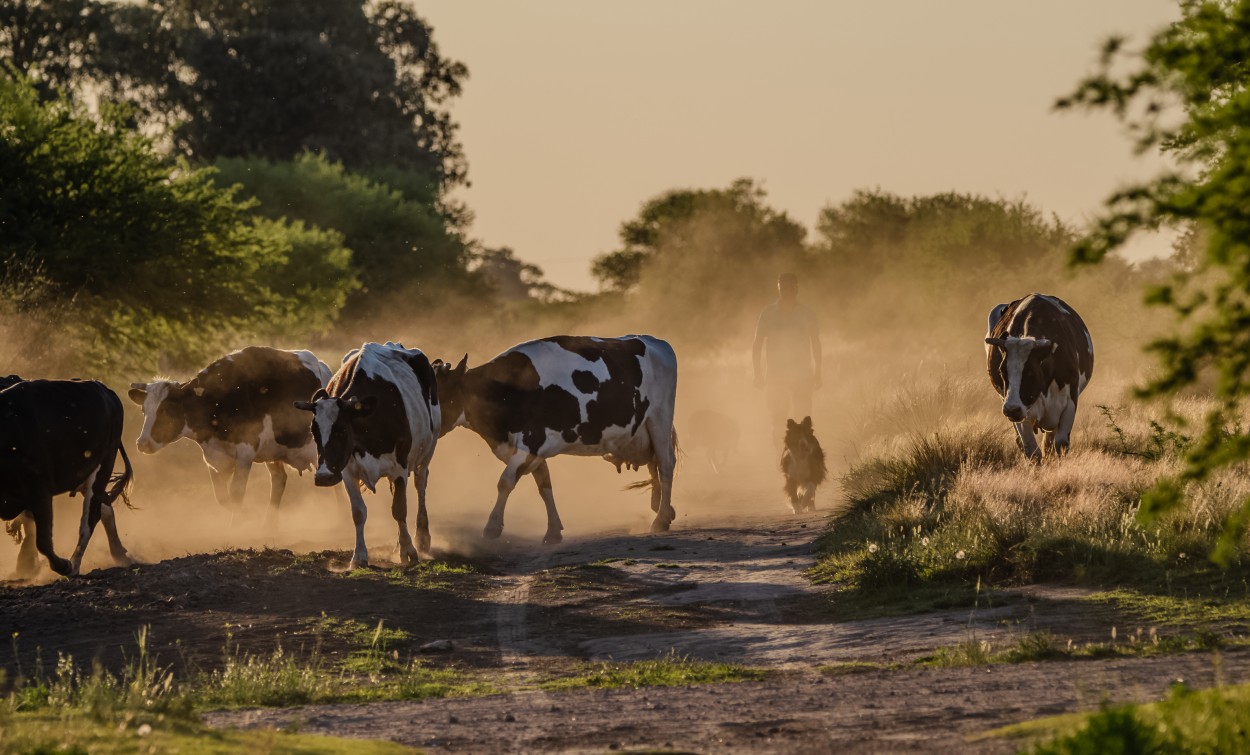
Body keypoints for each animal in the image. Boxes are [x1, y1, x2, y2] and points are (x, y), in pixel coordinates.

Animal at [0, 380, 134, 575]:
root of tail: (103, 388)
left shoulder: (40, 492)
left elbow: (43, 541)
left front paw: (63, 565)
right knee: (105, 507)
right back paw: (119, 554)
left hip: (102, 468)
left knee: (89, 520)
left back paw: (75, 564)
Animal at [127, 347, 332, 520]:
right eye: (144, 410)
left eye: (167, 411)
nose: (142, 443)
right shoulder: (213, 457)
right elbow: (222, 497)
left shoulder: (245, 454)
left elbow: (236, 494)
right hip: (274, 453)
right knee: (279, 480)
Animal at [295, 340, 442, 565]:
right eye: (314, 431)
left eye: (342, 430)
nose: (324, 477)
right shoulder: (346, 471)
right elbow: (358, 512)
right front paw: (359, 555)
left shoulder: (399, 466)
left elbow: (399, 509)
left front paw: (408, 551)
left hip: (427, 452)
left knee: (420, 484)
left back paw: (422, 539)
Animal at [432, 335, 685, 542]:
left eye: (440, 393)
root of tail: (655, 341)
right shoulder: (532, 449)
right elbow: (544, 484)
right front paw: (553, 531)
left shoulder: (531, 442)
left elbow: (505, 482)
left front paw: (492, 527)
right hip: (644, 431)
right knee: (654, 464)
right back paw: (663, 508)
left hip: (660, 418)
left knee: (665, 465)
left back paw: (661, 519)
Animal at [985, 293, 1095, 460]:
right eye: (1002, 372)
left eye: (1031, 372)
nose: (1011, 410)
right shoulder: (1021, 411)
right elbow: (1032, 451)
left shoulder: (1069, 404)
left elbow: (1060, 444)